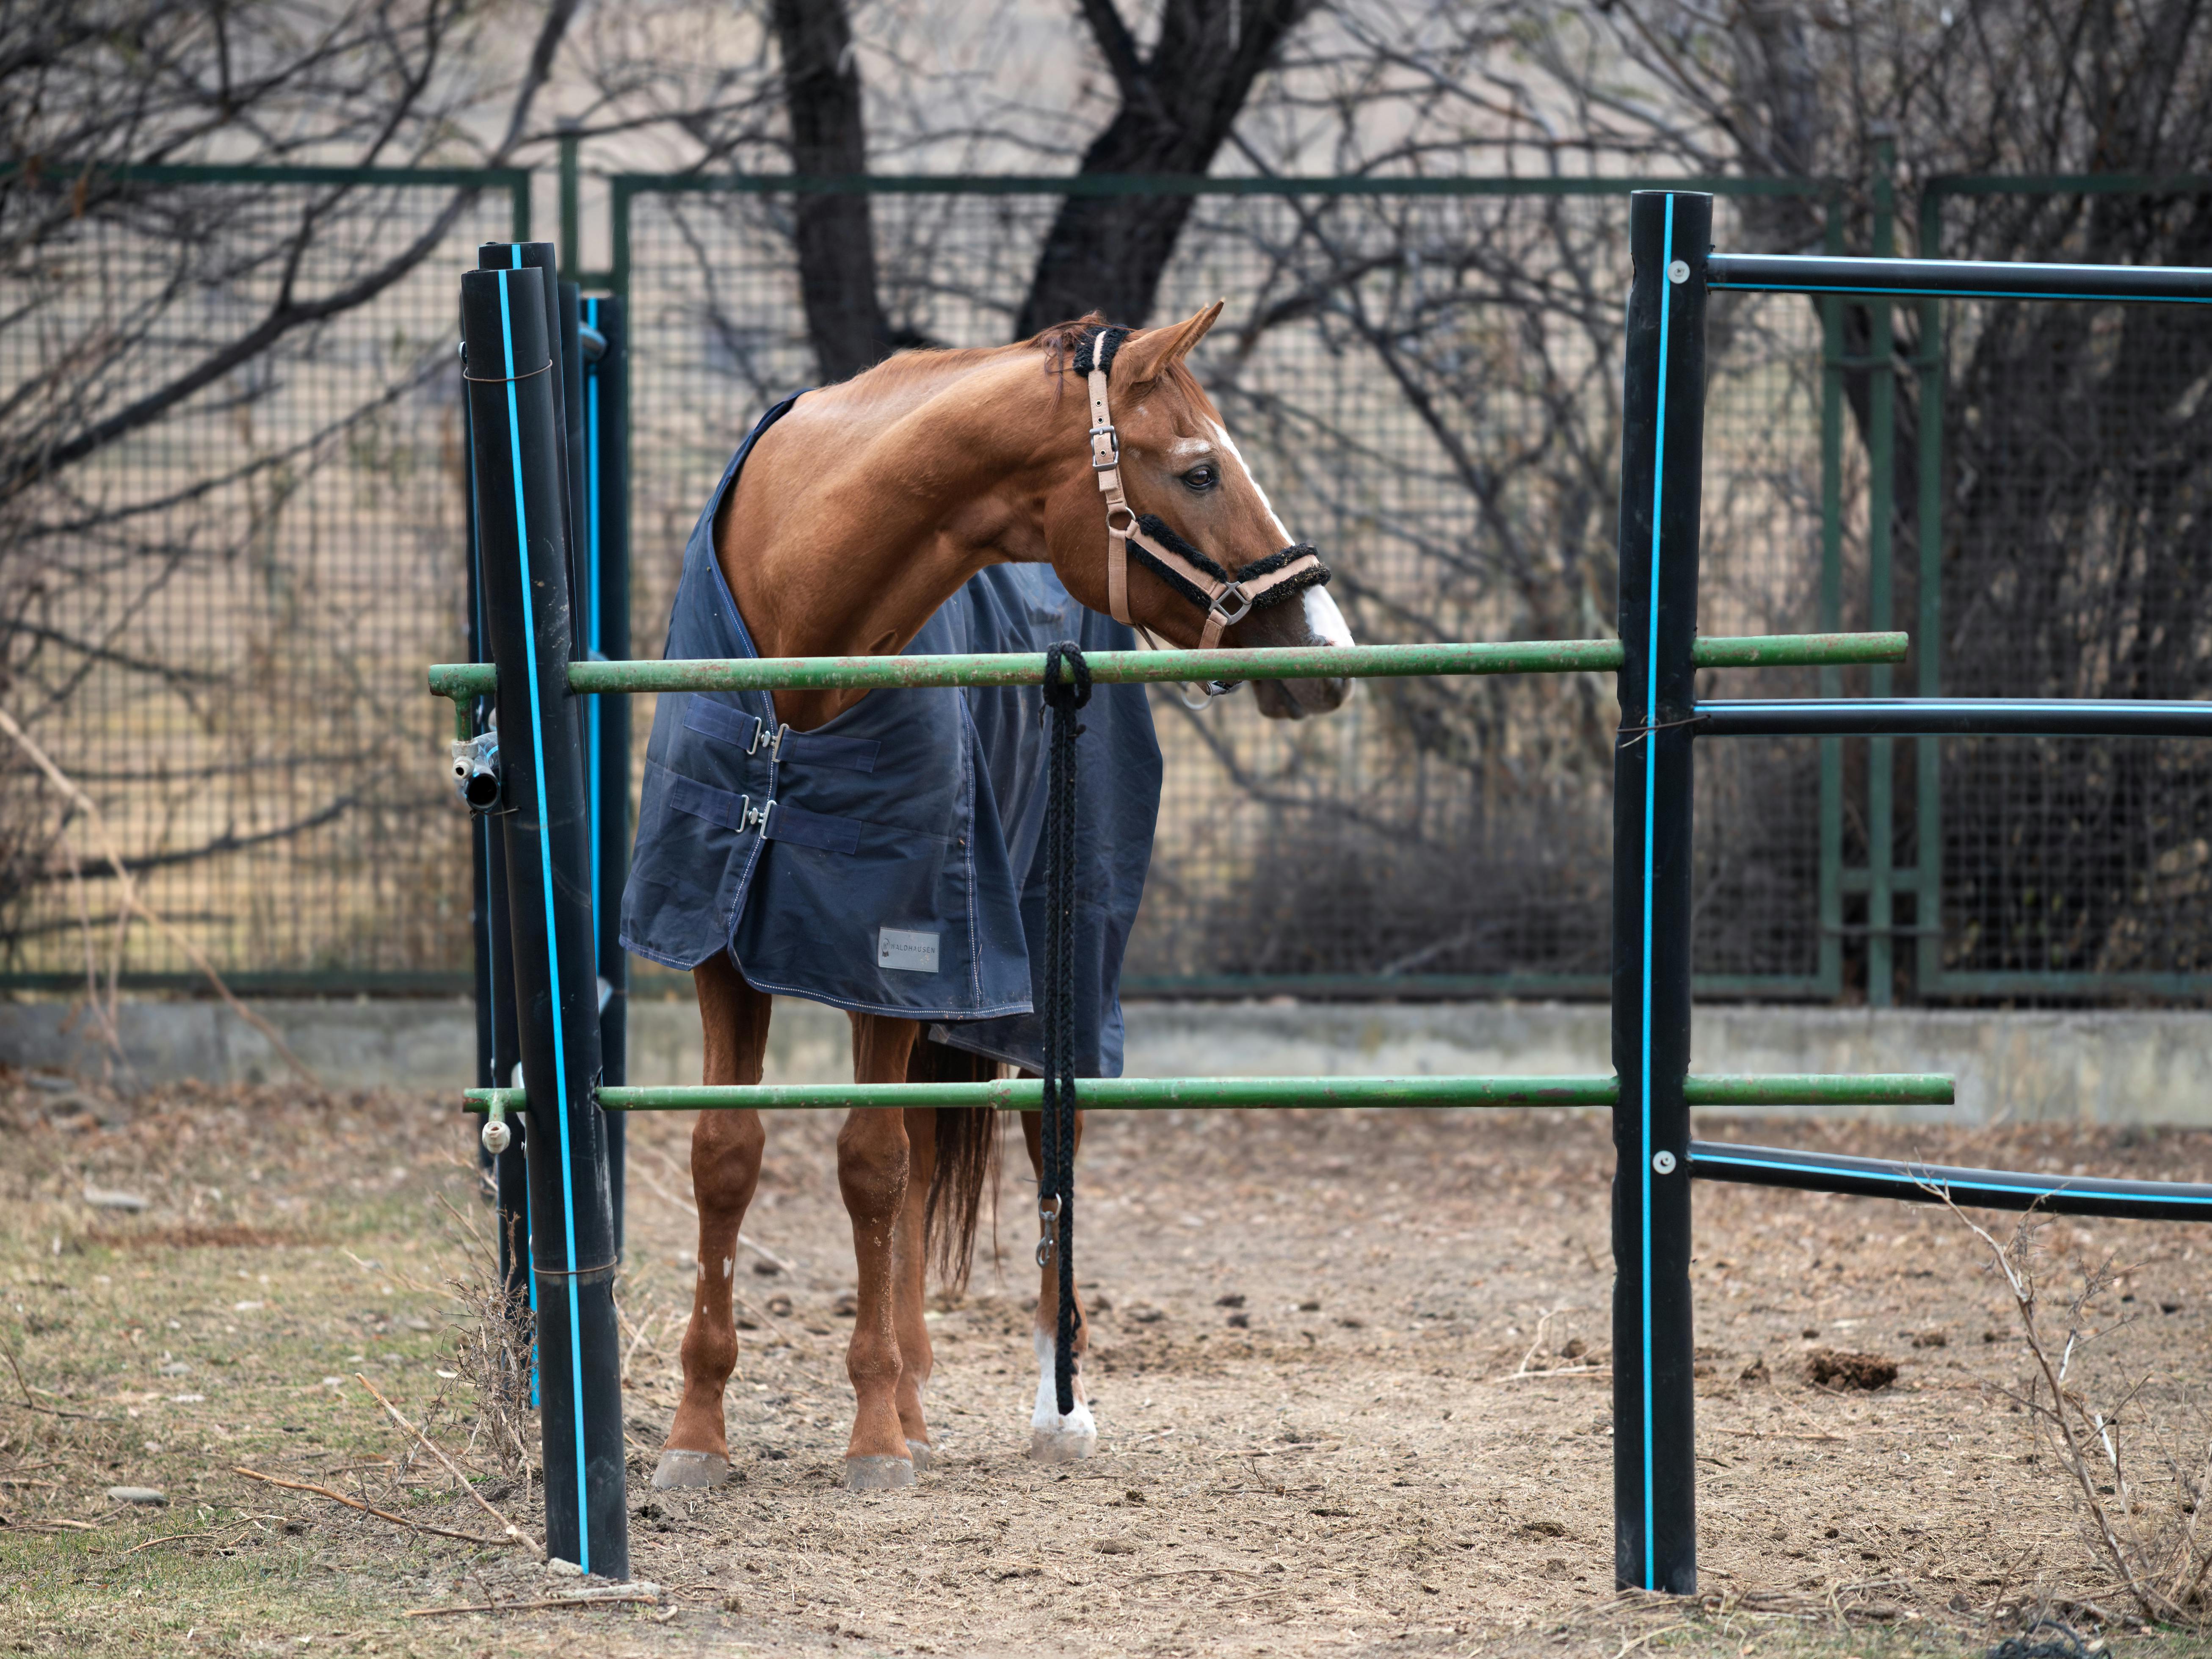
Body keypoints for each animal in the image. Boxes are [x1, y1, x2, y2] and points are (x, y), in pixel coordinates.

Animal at [637, 302, 1356, 1492]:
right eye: (1199, 470)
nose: (1327, 653)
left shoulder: (895, 954)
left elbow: (870, 1166)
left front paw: (873, 1439)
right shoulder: (723, 950)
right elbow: (729, 1160)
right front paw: (698, 1432)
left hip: (1058, 978)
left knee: (1033, 1137)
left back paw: (1050, 1409)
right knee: (927, 1150)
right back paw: (917, 1393)